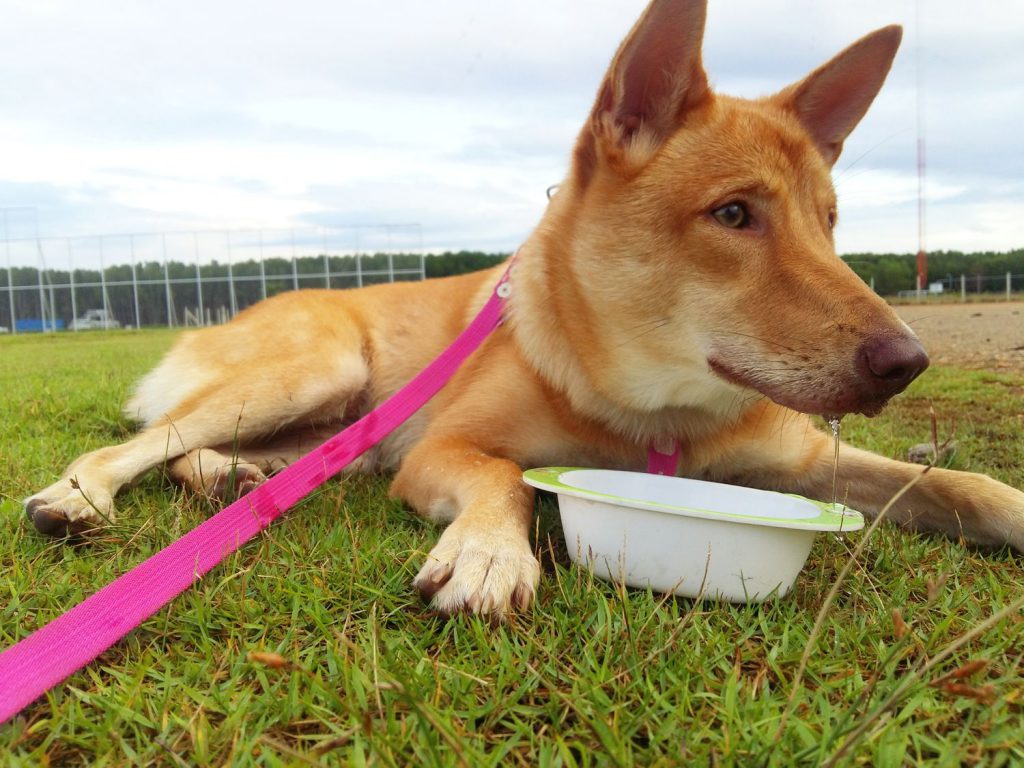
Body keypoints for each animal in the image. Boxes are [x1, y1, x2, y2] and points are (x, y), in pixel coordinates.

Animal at [25, 0, 1024, 616]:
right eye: (735, 214)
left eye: (831, 221)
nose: (908, 363)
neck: (656, 417)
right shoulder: (440, 451)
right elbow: (504, 475)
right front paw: (489, 551)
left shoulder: (809, 461)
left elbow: (962, 486)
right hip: (319, 368)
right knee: (135, 444)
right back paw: (81, 494)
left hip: (337, 428)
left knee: (211, 457)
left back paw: (232, 479)